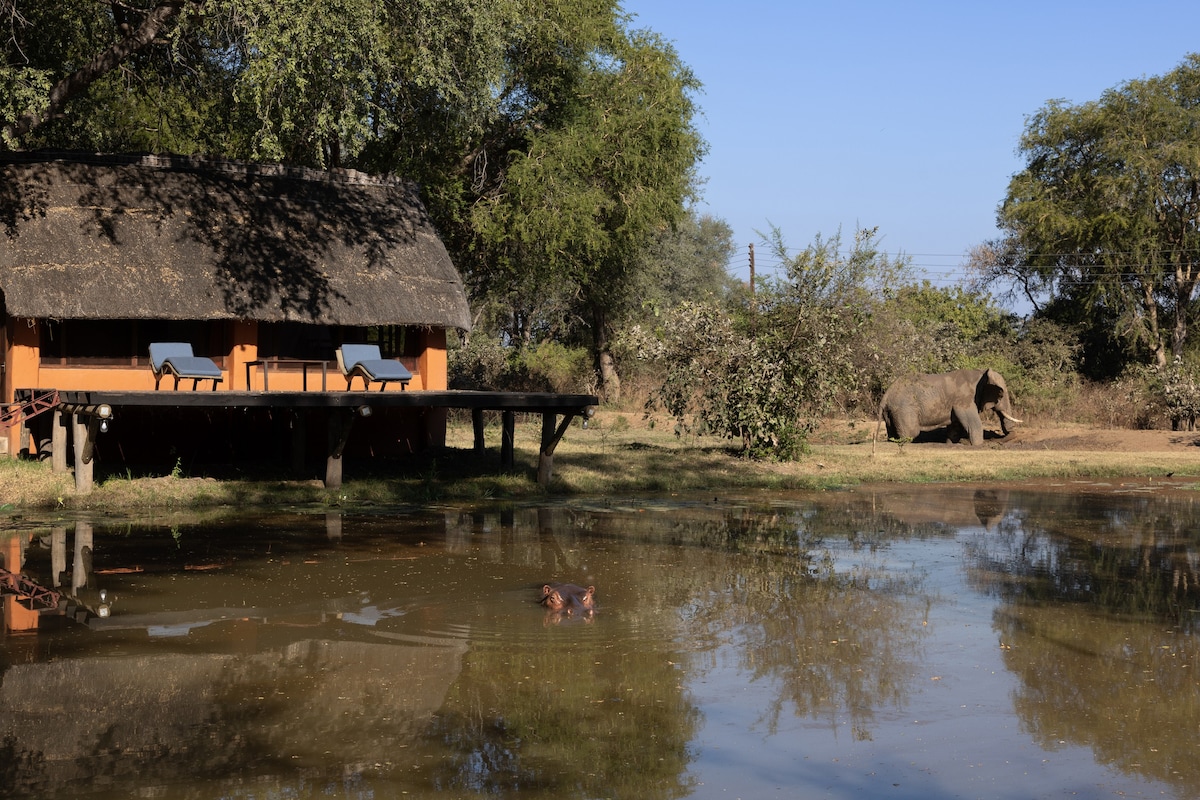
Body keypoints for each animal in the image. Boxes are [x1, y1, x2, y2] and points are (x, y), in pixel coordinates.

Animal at [873, 367, 1022, 448]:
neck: (979, 373)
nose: (996, 441)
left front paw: (951, 444)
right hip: (904, 408)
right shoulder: (964, 400)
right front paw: (978, 445)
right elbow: (974, 425)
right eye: (1001, 394)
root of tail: (886, 395)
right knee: (911, 432)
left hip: (891, 411)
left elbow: (955, 427)